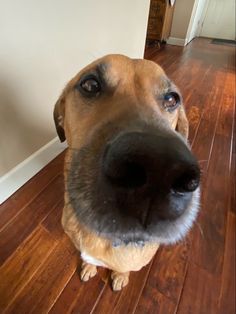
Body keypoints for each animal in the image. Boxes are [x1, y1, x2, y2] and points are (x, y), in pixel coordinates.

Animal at [53, 54, 199, 292]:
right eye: (90, 85)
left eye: (171, 99)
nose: (160, 167)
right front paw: (89, 266)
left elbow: (123, 268)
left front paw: (120, 276)